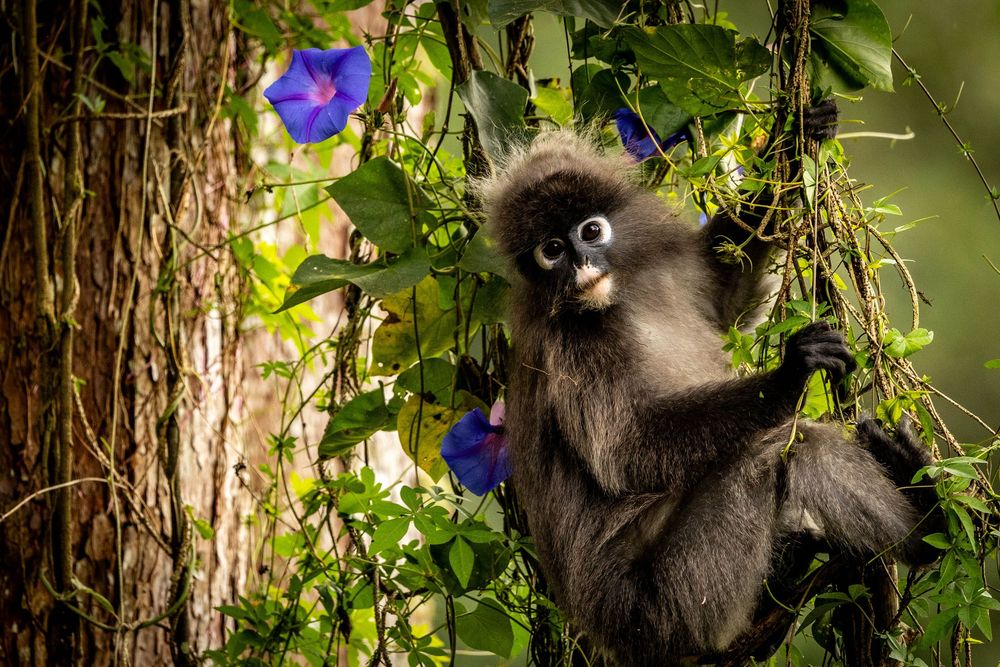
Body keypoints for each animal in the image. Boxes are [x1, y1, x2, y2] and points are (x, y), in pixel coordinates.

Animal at [478, 126, 940, 665]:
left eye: (589, 232)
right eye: (552, 249)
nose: (581, 264)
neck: (611, 304)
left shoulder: (662, 272)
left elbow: (727, 300)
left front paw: (796, 136)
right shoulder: (571, 348)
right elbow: (625, 452)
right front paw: (791, 373)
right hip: (677, 601)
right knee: (794, 451)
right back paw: (932, 533)